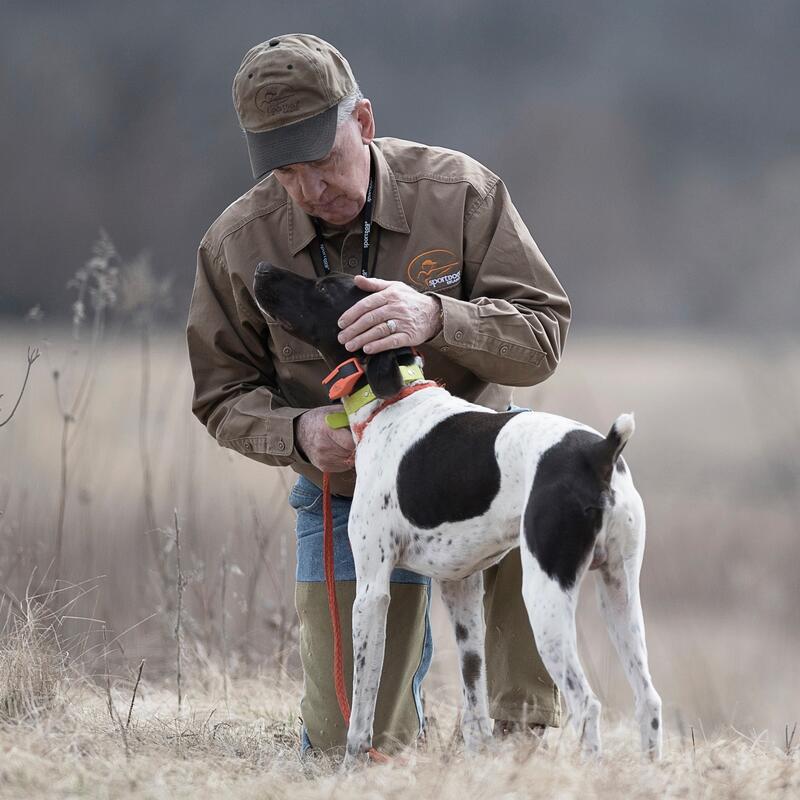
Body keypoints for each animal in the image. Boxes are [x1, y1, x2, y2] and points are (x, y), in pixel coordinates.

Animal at [255, 262, 664, 764]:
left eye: (326, 287)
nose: (261, 269)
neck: (392, 401)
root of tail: (601, 453)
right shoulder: (460, 589)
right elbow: (474, 702)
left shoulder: (371, 590)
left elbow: (363, 701)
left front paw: (353, 763)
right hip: (620, 592)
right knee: (648, 699)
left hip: (546, 595)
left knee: (586, 703)